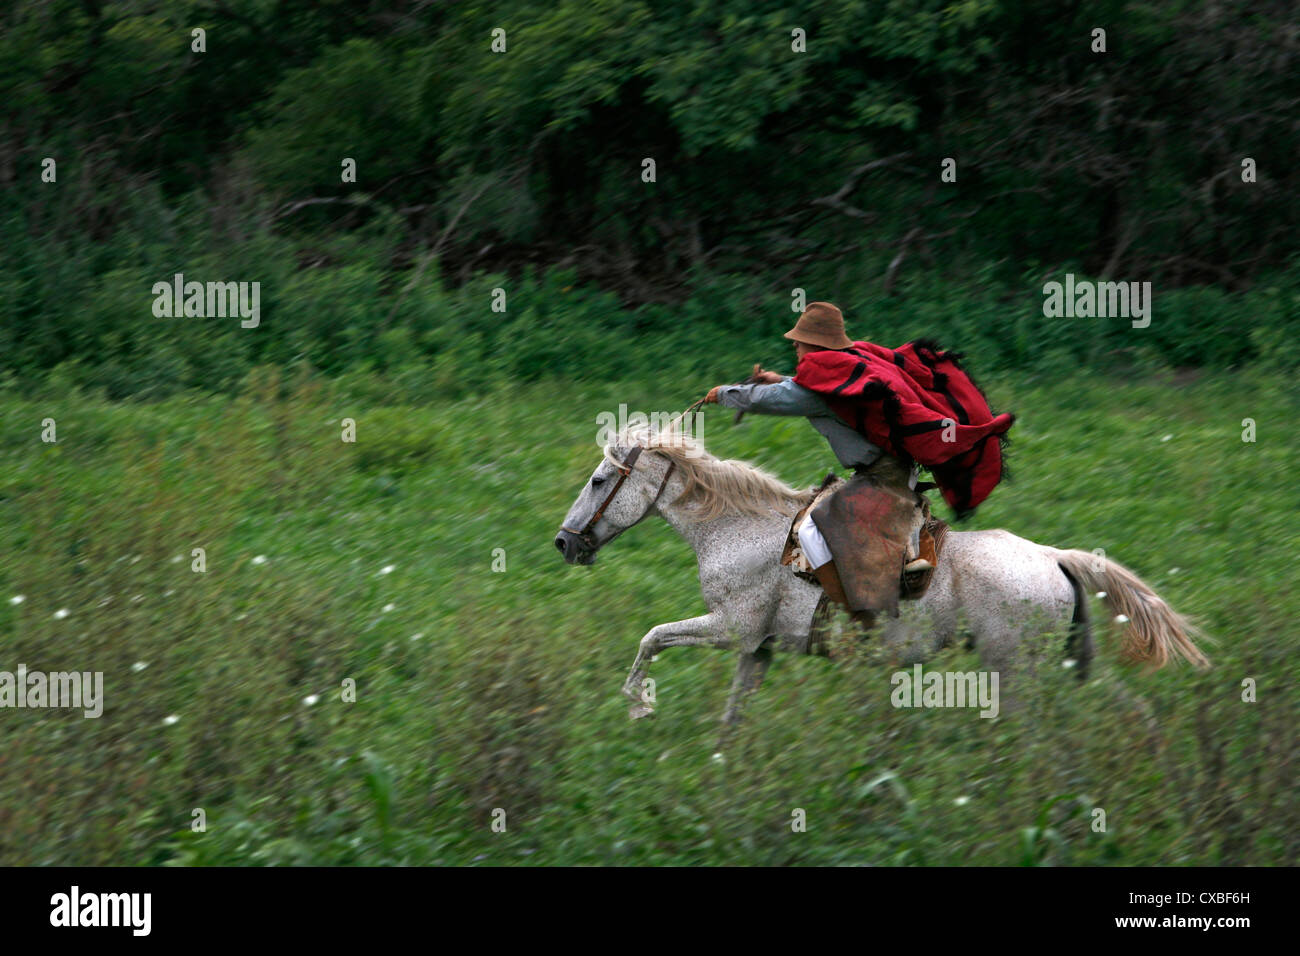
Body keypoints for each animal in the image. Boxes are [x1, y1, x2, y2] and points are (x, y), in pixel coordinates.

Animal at [553, 429, 1201, 728]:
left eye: (597, 480)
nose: (564, 542)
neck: (741, 531)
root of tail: (1054, 556)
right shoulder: (755, 647)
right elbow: (732, 715)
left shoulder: (728, 628)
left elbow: (652, 637)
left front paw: (637, 705)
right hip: (1063, 659)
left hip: (1014, 666)